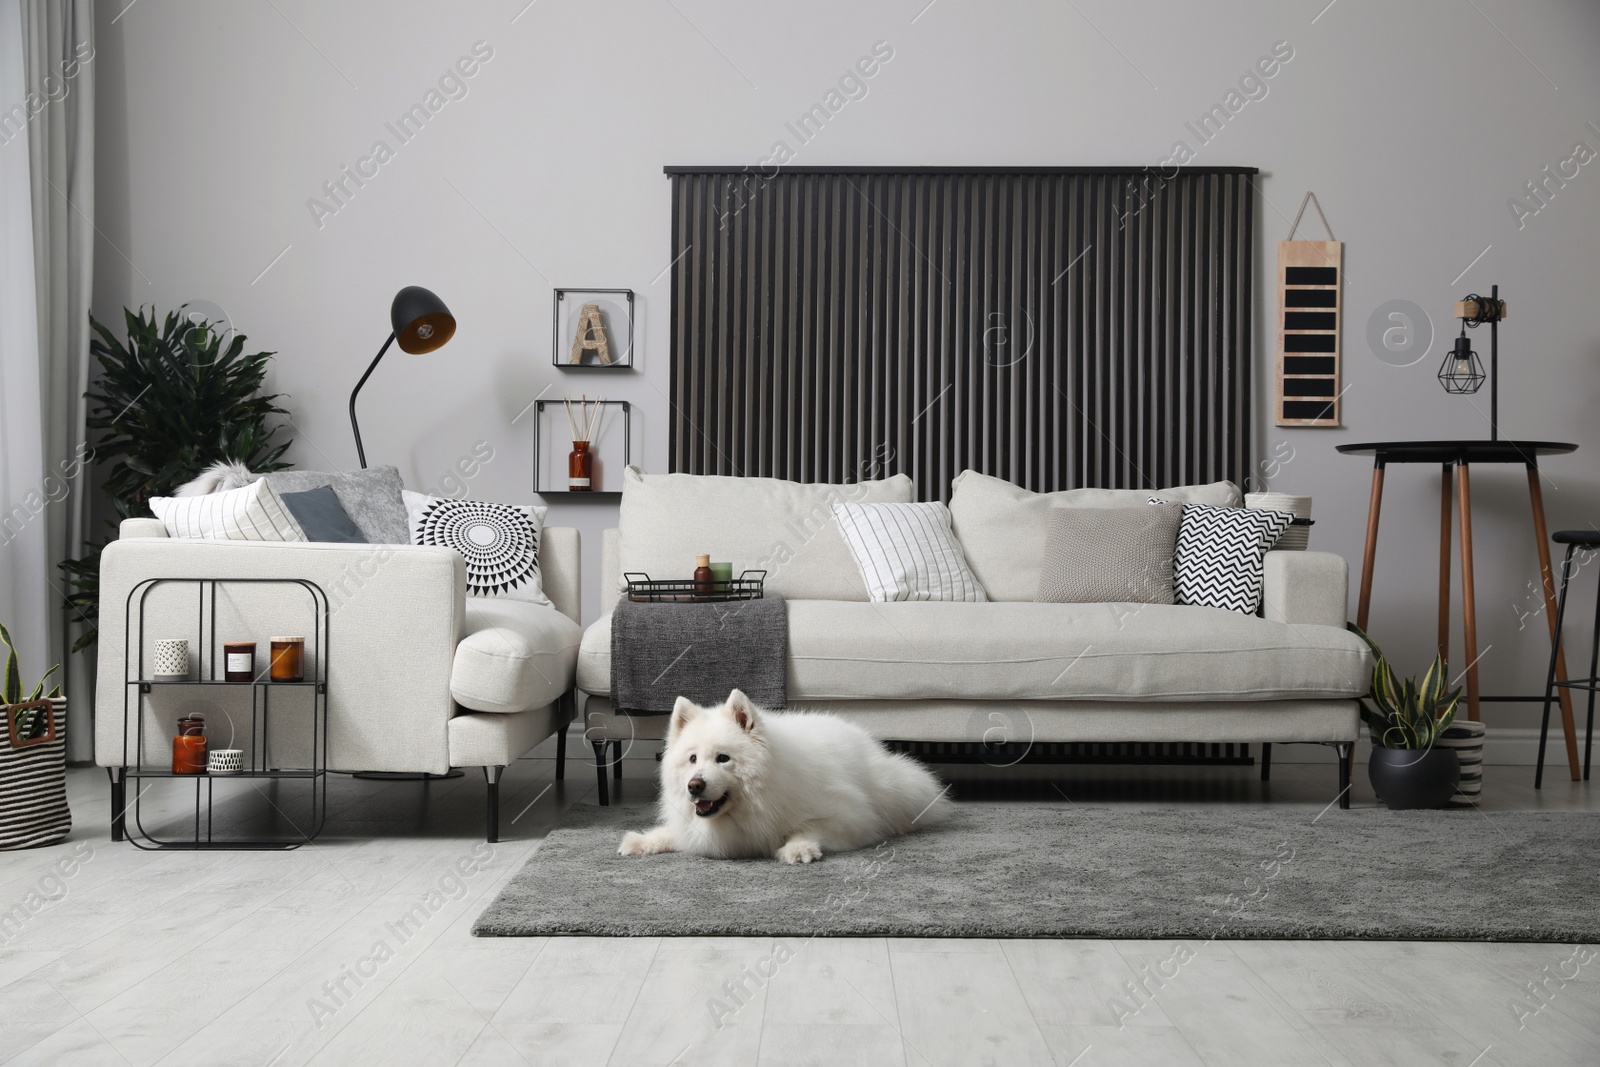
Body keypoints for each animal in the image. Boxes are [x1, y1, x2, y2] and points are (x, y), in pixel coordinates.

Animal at [617, 687, 947, 863]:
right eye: (692, 759)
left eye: (723, 758)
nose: (694, 785)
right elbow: (674, 834)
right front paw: (642, 841)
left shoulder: (850, 818)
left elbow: (809, 827)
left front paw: (797, 848)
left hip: (894, 787)